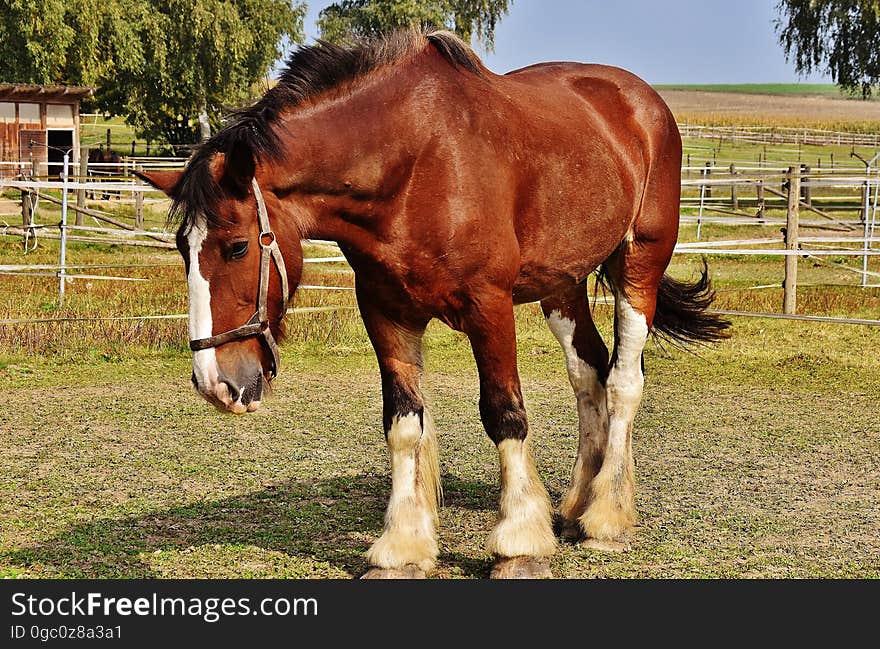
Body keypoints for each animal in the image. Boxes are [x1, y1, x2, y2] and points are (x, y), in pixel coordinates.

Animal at [139, 29, 728, 576]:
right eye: (182, 248)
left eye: (237, 246)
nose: (215, 383)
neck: (414, 165)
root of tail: (642, 102)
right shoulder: (386, 313)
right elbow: (403, 425)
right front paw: (402, 547)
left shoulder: (489, 307)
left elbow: (505, 414)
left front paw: (519, 544)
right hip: (562, 284)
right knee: (589, 374)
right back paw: (575, 506)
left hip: (638, 266)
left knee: (624, 381)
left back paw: (606, 518)